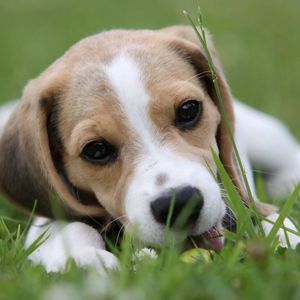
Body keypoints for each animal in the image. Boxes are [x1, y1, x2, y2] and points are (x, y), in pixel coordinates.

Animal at [0, 25, 300, 274]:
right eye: (96, 150)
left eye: (188, 110)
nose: (180, 203)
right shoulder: (47, 216)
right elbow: (69, 224)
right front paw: (84, 258)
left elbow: (269, 217)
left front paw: (280, 235)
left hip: (266, 137)